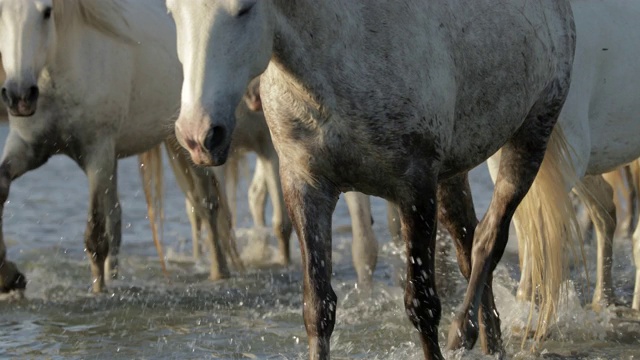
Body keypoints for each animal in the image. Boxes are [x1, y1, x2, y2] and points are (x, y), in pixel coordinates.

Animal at [0, 0, 242, 294]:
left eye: (47, 12)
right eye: (0, 13)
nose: (19, 96)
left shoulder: (97, 155)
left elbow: (95, 234)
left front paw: (98, 291)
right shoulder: (27, 147)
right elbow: (1, 186)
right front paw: (8, 276)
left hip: (189, 148)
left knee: (207, 204)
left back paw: (219, 272)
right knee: (117, 218)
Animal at [164, 1, 576, 358]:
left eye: (243, 9)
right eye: (173, 11)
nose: (198, 134)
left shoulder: (415, 185)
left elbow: (422, 303)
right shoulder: (305, 186)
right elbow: (318, 307)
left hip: (532, 133)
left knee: (489, 238)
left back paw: (464, 330)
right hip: (451, 173)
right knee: (467, 243)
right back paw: (490, 342)